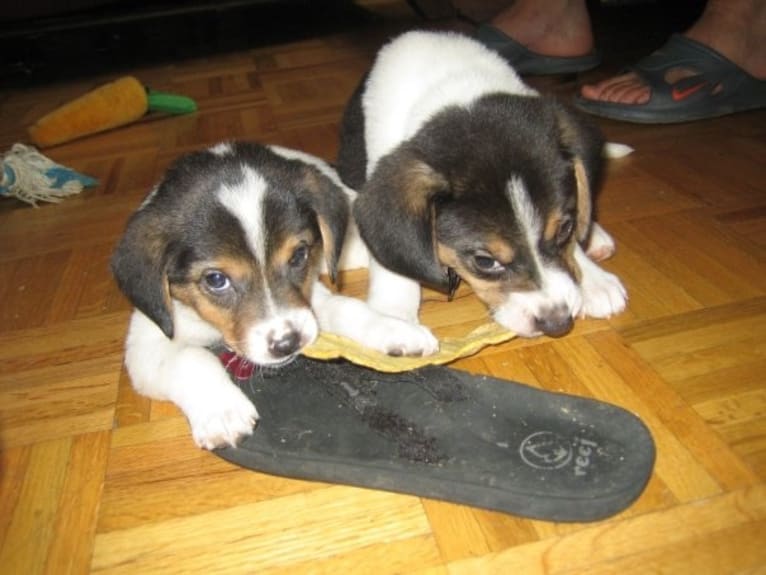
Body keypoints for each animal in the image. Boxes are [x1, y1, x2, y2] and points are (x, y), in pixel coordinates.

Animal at [113, 141, 438, 450]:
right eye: (216, 280)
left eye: (298, 255)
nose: (287, 343)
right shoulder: (147, 341)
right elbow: (192, 358)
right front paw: (223, 412)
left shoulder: (307, 297)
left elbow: (346, 307)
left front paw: (395, 330)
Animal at [340, 31, 628, 344]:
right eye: (484, 261)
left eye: (564, 229)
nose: (558, 323)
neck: (457, 86)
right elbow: (394, 262)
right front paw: (394, 320)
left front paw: (594, 279)